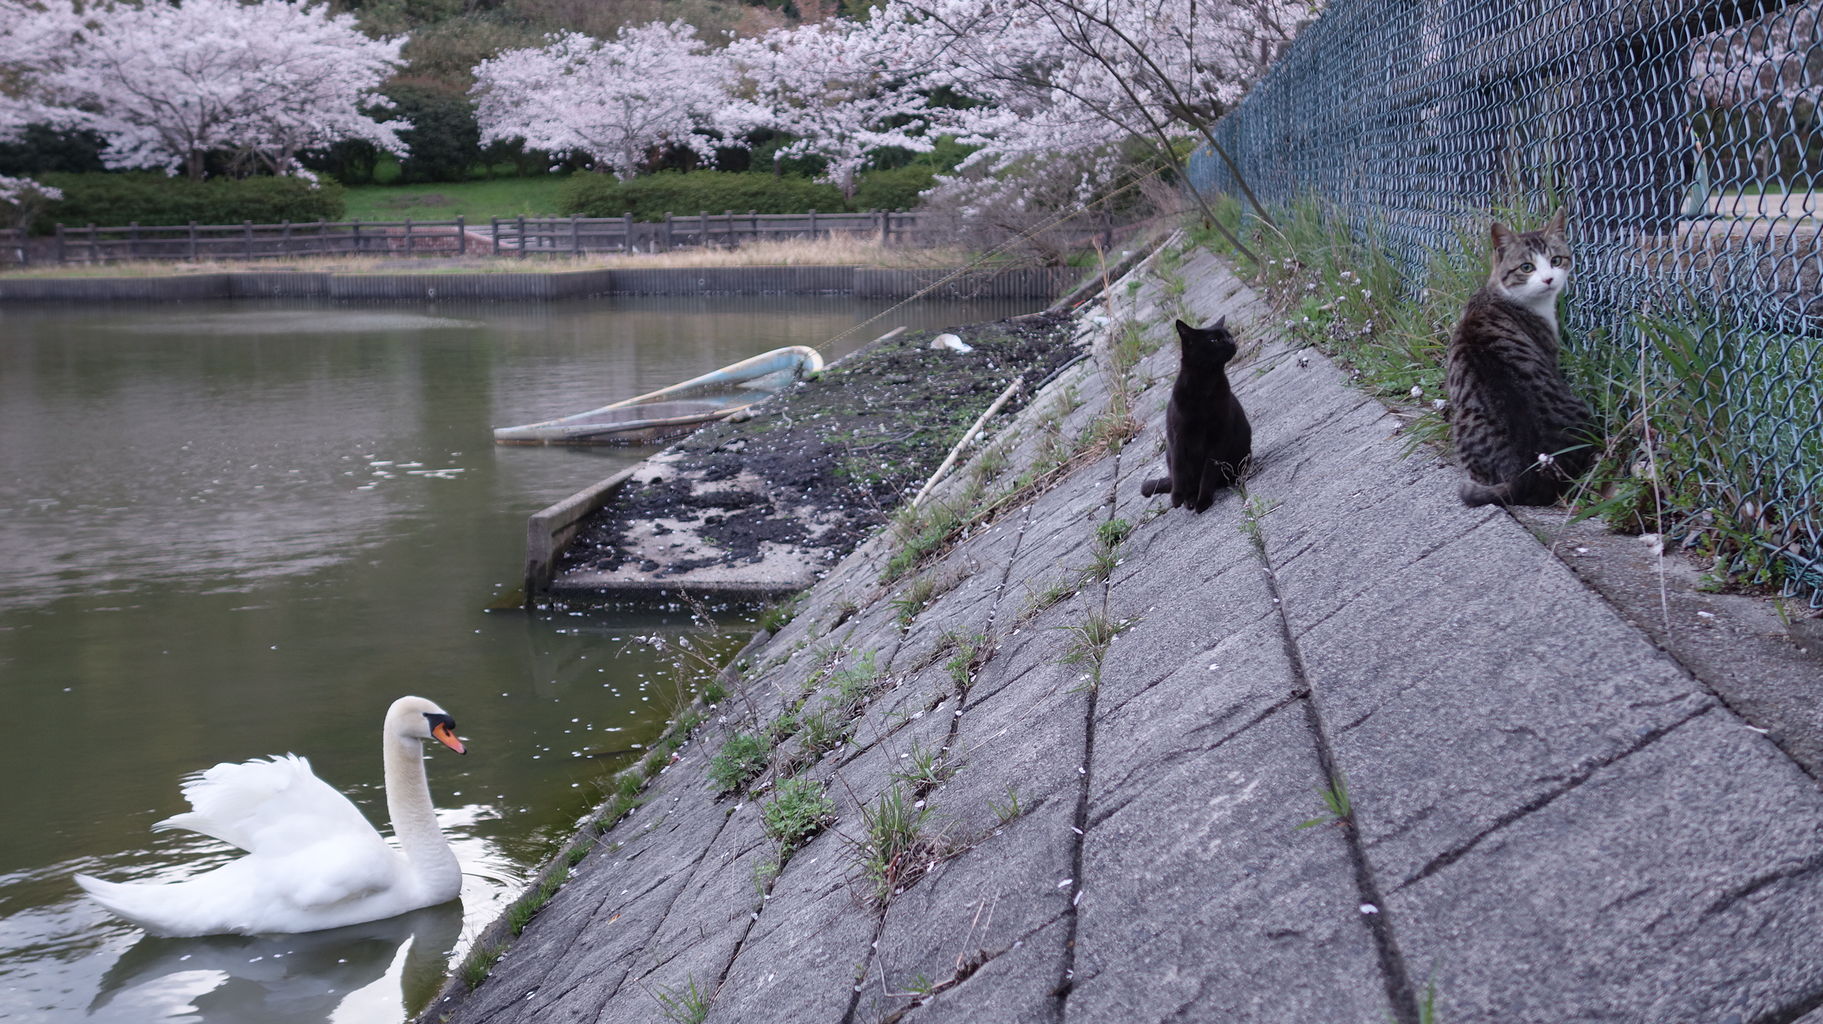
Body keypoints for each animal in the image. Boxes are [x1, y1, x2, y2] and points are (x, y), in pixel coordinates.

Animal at [1137, 315, 1254, 510]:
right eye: (1214, 340)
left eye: (1228, 335)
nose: (1232, 342)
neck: (1204, 385)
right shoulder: (1177, 437)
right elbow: (1179, 470)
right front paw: (1178, 497)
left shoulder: (1218, 437)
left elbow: (1208, 471)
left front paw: (1203, 501)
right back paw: (1188, 498)